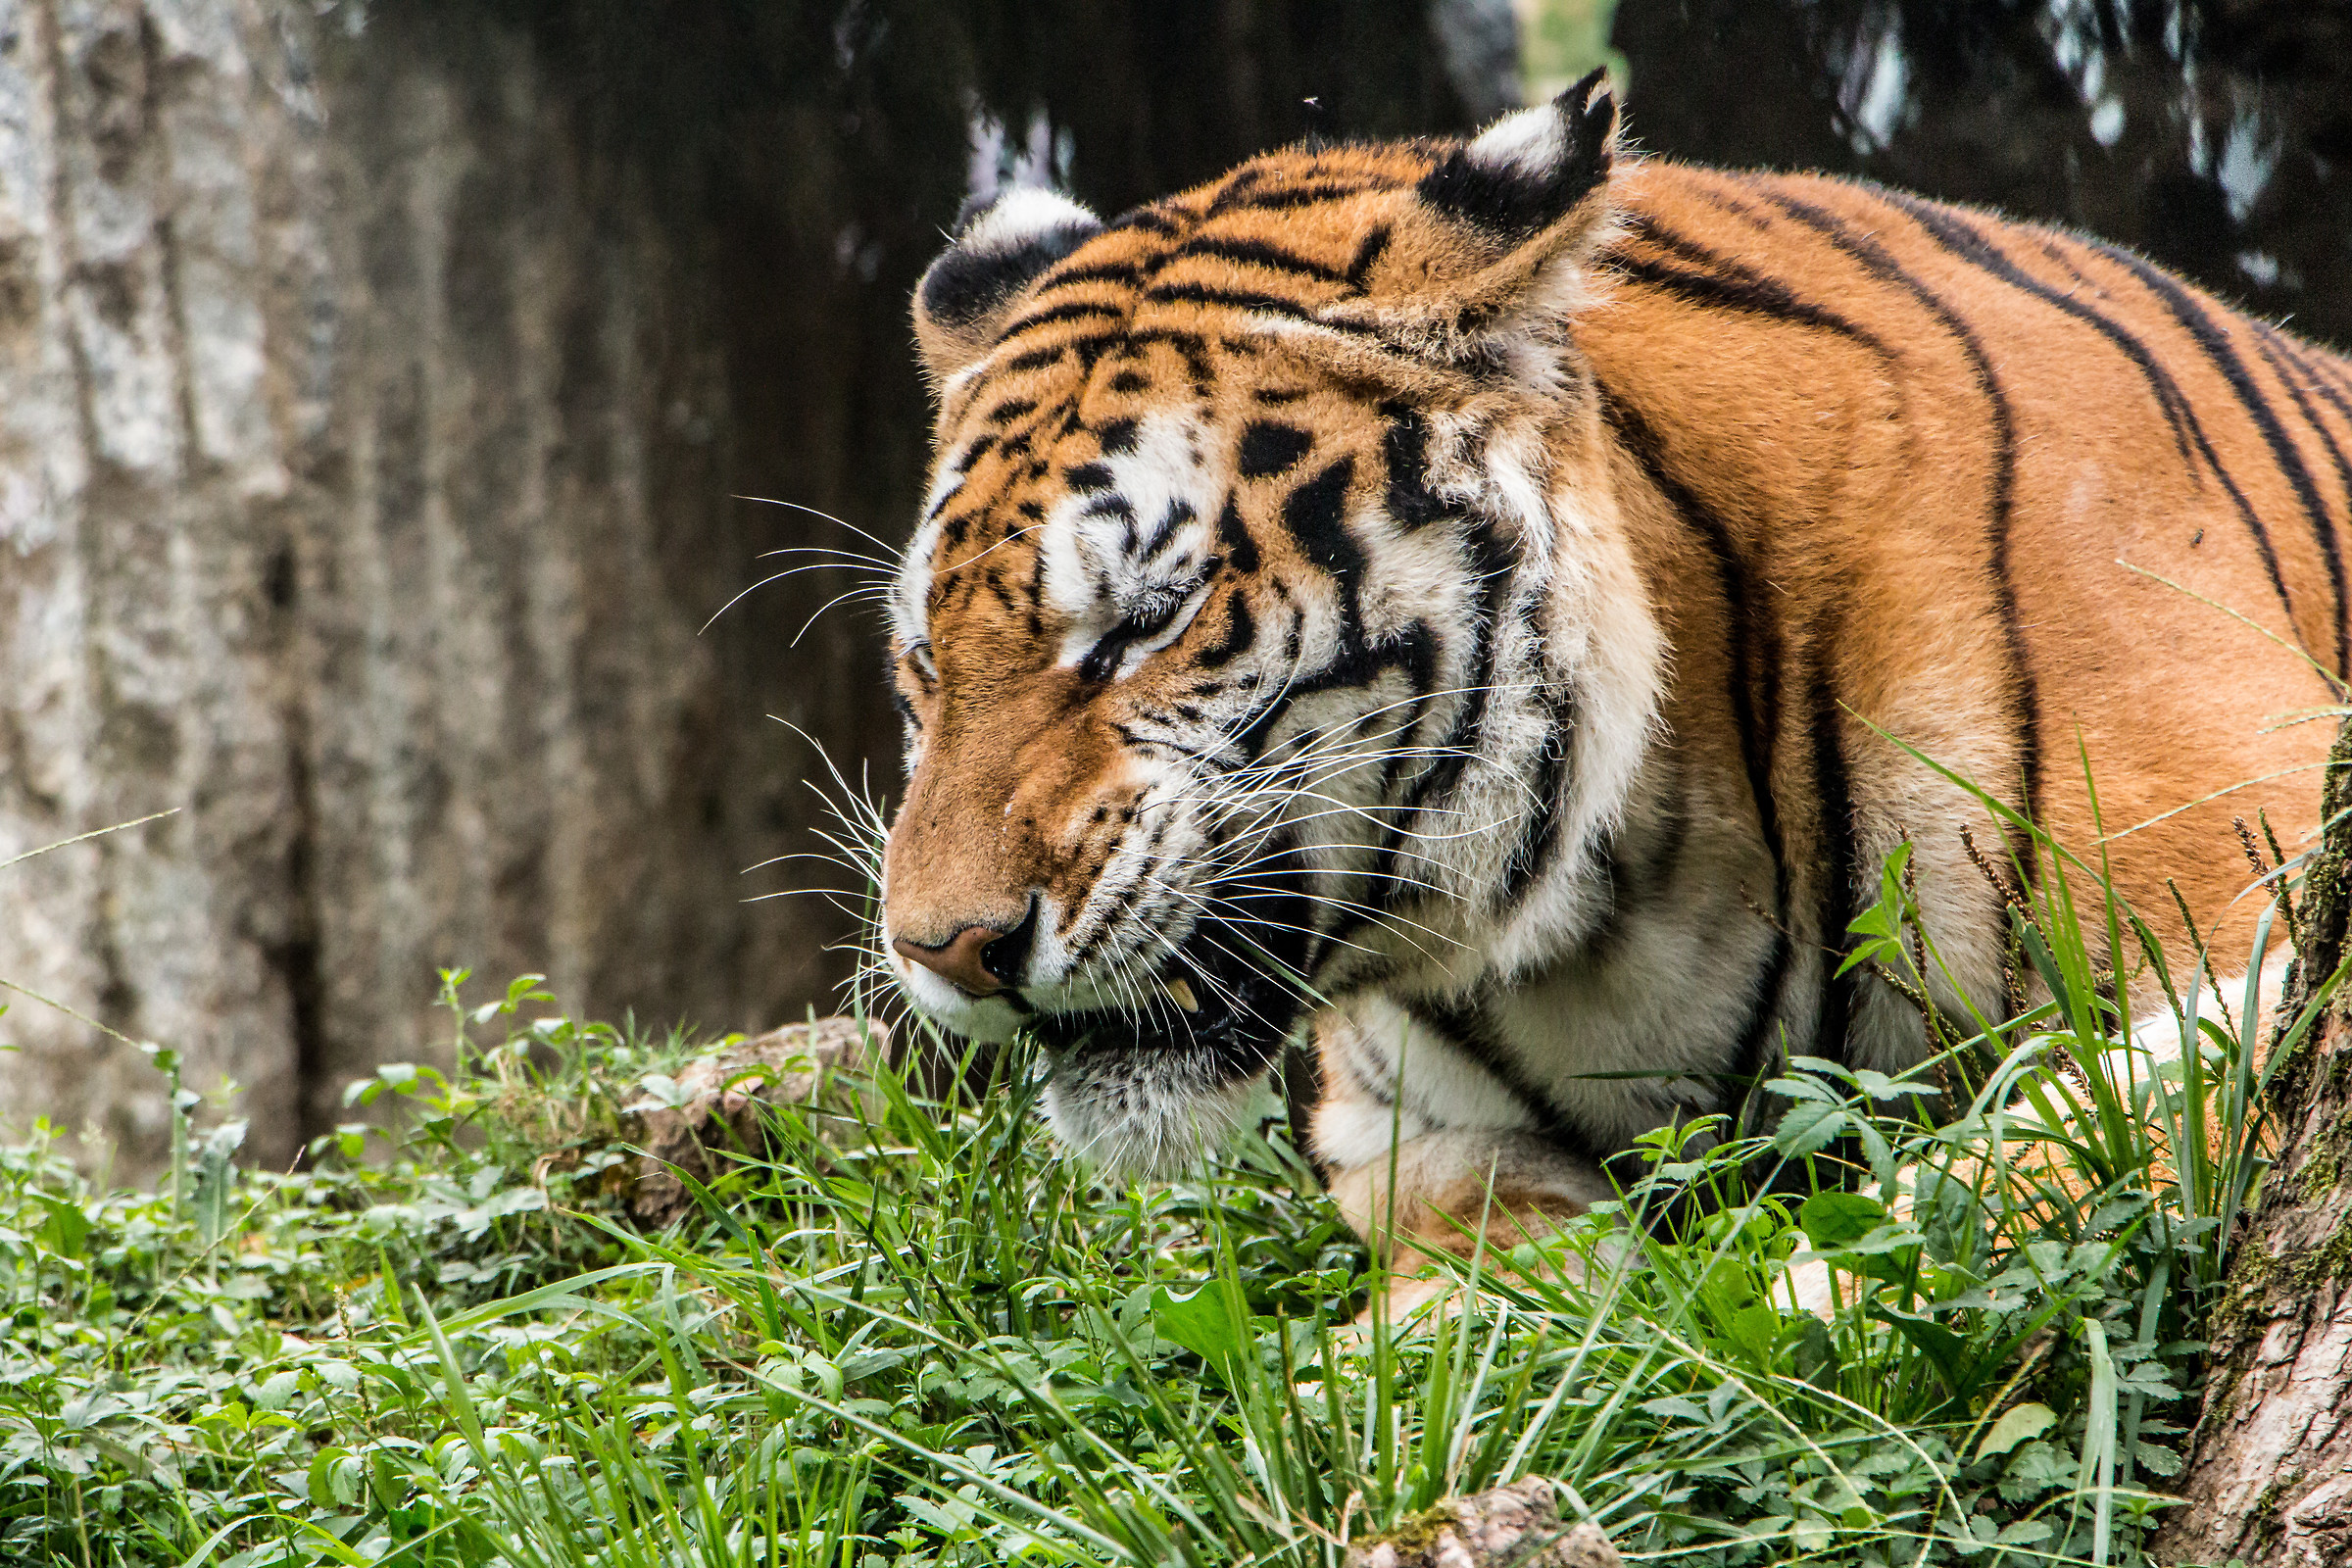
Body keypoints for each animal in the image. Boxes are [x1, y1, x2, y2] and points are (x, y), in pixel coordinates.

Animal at [875, 71, 2350, 1268]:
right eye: (924, 663)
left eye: (1147, 621)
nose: (944, 952)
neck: (1633, 892)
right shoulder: (1440, 1152)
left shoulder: (2263, 900)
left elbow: (2020, 1169)